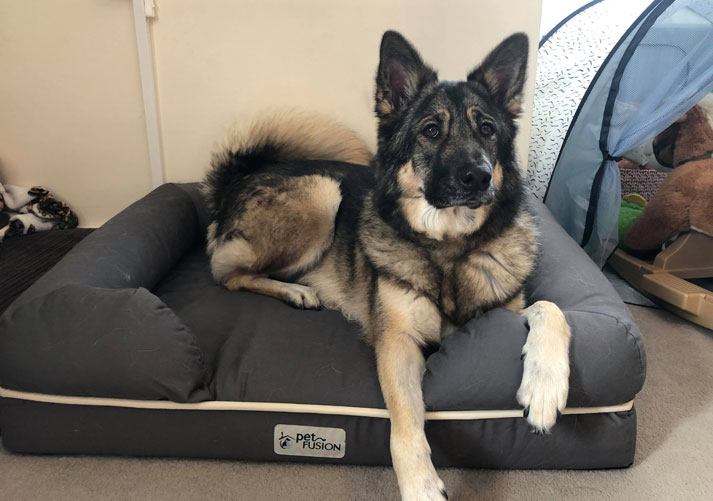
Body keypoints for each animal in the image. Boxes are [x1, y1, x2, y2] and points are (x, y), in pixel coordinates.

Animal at [203, 32, 572, 500]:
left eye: (487, 129)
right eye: (430, 130)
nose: (479, 177)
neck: (448, 247)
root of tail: (238, 177)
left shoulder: (507, 309)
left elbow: (551, 309)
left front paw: (544, 387)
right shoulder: (397, 343)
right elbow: (406, 423)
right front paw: (421, 486)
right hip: (322, 195)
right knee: (228, 274)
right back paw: (295, 290)